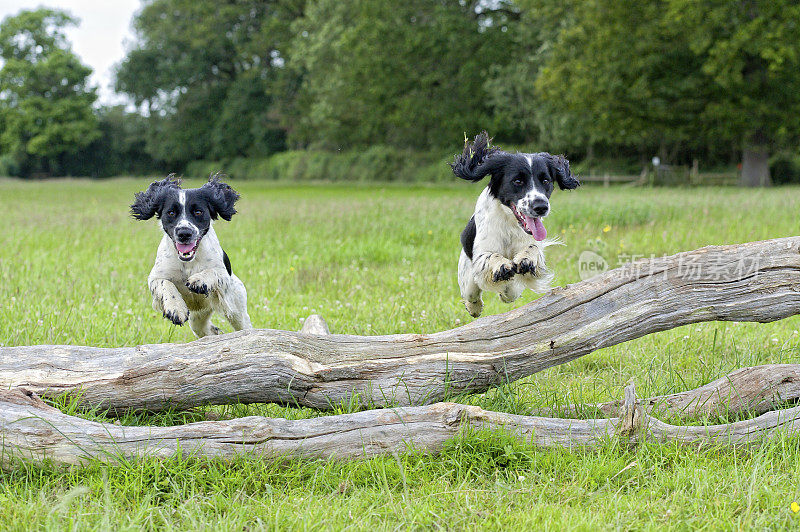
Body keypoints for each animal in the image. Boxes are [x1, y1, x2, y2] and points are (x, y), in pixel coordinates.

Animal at [130, 177, 253, 338]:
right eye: (171, 212)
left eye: (198, 212)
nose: (184, 233)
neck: (188, 262)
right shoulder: (155, 278)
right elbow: (165, 284)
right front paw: (176, 309)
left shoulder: (224, 276)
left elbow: (212, 272)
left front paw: (198, 280)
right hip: (197, 321)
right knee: (208, 331)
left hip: (237, 310)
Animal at [454, 132, 580, 316]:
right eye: (518, 181)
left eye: (546, 181)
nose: (541, 207)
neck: (510, 222)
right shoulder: (481, 253)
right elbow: (490, 256)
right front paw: (502, 266)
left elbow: (533, 249)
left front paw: (526, 259)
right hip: (467, 277)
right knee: (472, 295)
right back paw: (474, 307)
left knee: (509, 293)